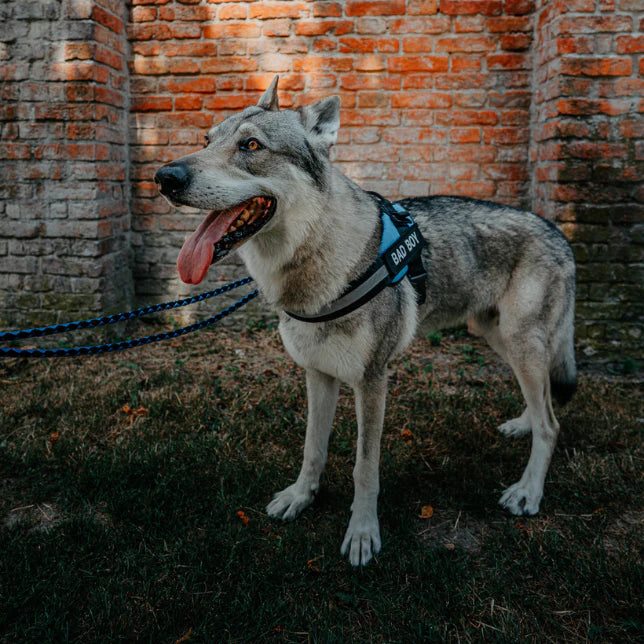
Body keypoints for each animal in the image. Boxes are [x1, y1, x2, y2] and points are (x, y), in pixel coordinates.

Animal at [153, 78, 576, 568]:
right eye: (206, 141)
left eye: (251, 145)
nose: (165, 177)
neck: (316, 268)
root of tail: (559, 232)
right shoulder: (317, 373)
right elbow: (312, 449)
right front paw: (301, 498)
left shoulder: (372, 380)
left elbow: (364, 468)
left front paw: (362, 534)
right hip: (499, 338)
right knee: (541, 401)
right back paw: (521, 425)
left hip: (520, 342)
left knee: (552, 423)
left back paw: (528, 491)